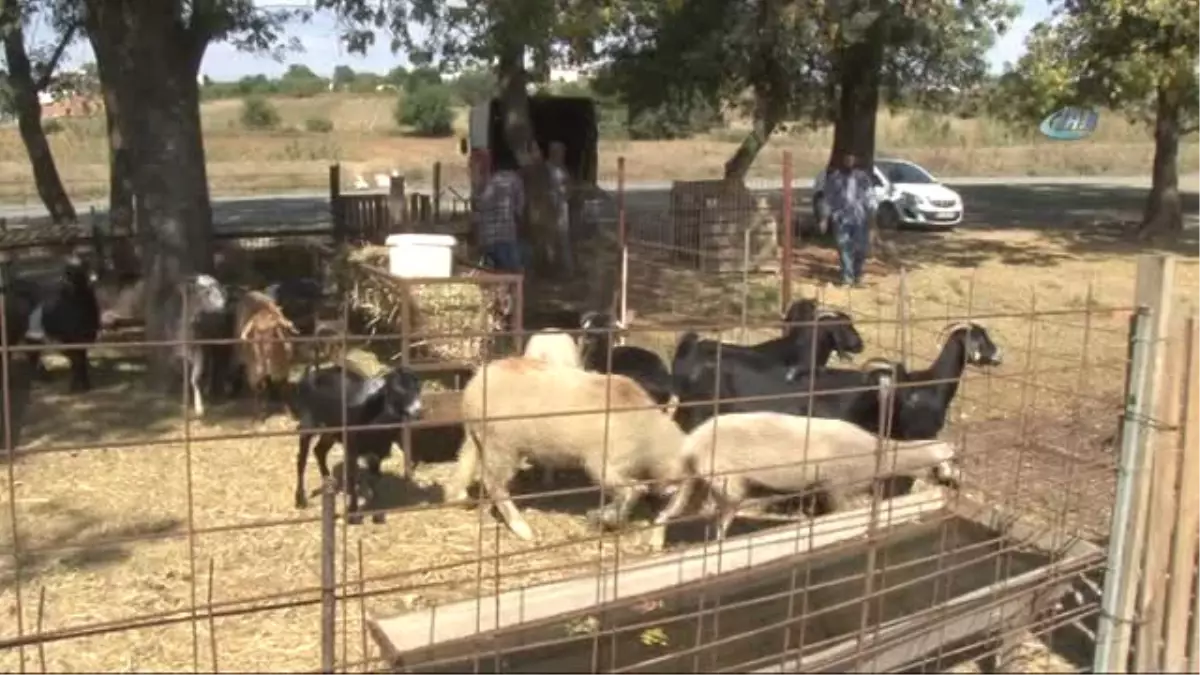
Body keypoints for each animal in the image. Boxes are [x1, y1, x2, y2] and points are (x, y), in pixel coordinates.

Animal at [235, 285, 298, 413]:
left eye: (275, 328)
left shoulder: (283, 370)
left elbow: (282, 388)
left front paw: (287, 410)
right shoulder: (255, 373)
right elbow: (261, 388)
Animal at [289, 365, 422, 523]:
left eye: (418, 387)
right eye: (396, 388)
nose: (417, 410)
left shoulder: (377, 452)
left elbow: (375, 479)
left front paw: (377, 514)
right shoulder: (352, 448)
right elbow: (352, 477)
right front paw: (353, 513)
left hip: (331, 431)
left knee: (319, 450)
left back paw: (330, 482)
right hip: (308, 425)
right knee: (301, 459)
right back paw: (300, 500)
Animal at [446, 355, 691, 542]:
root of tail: (476, 381)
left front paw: (605, 516)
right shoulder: (604, 464)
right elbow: (633, 491)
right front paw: (606, 518)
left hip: (477, 436)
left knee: (464, 462)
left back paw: (457, 497)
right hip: (502, 444)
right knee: (493, 483)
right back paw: (522, 529)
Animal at [652, 408, 960, 538]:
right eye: (953, 462)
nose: (958, 484)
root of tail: (693, 442)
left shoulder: (820, 487)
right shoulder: (836, 486)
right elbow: (837, 514)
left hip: (702, 477)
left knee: (683, 503)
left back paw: (664, 521)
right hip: (729, 481)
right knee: (721, 517)